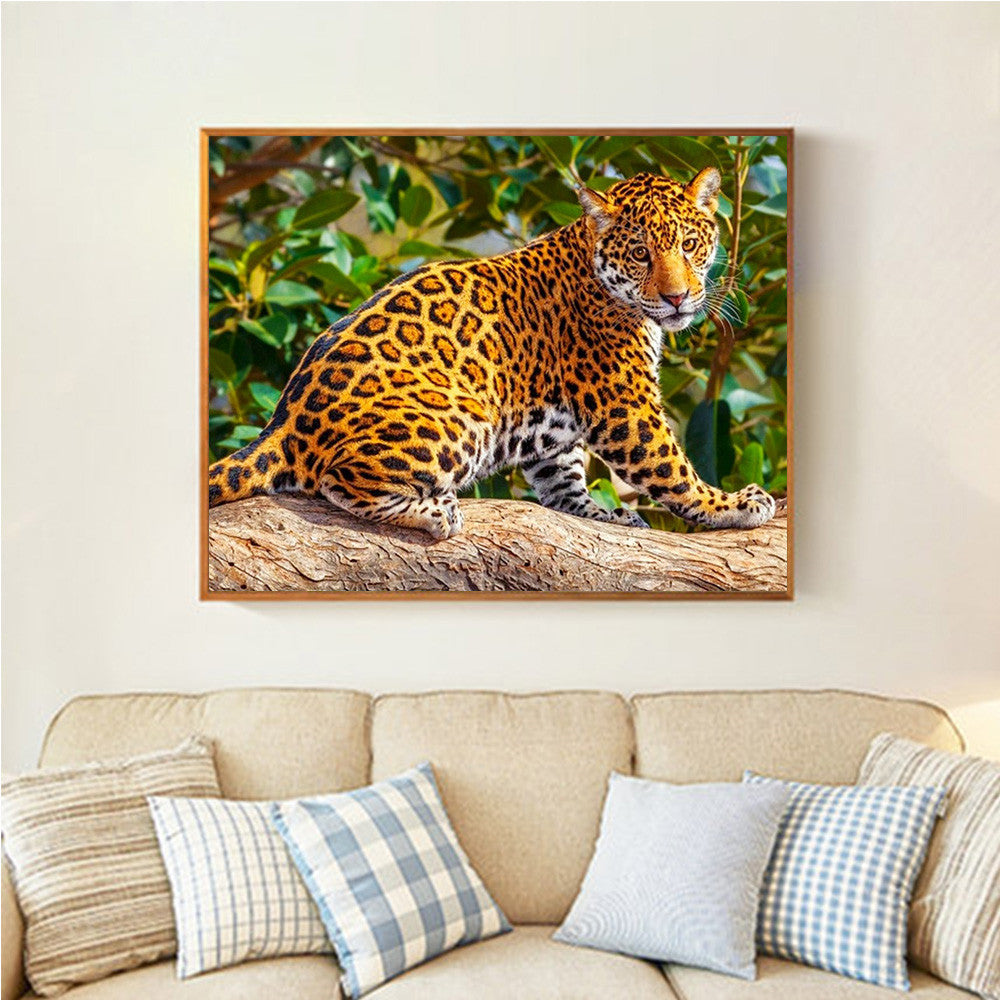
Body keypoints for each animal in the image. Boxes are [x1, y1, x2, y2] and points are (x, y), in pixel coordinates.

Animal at [208, 168, 777, 540]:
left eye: (688, 246)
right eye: (640, 253)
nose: (678, 297)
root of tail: (282, 423)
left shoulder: (557, 434)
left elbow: (562, 483)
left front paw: (603, 514)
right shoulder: (626, 405)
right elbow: (671, 469)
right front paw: (730, 504)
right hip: (459, 414)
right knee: (338, 479)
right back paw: (436, 513)